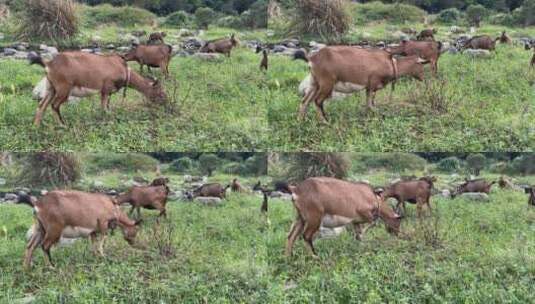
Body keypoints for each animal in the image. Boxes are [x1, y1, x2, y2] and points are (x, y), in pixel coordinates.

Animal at [29, 51, 166, 125]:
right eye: (160, 92)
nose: (165, 103)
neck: (124, 69)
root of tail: (49, 64)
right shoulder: (106, 89)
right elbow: (104, 108)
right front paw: (108, 120)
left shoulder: (108, 92)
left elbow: (107, 106)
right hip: (64, 88)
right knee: (54, 105)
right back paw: (62, 125)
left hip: (51, 88)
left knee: (42, 105)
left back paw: (36, 126)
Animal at [294, 46, 428, 122]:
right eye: (422, 66)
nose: (423, 78)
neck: (392, 64)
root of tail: (312, 59)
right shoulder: (373, 84)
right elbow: (371, 103)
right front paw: (378, 115)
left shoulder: (368, 87)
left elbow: (368, 103)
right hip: (327, 83)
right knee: (317, 101)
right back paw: (325, 121)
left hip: (315, 83)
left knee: (305, 101)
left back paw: (300, 121)